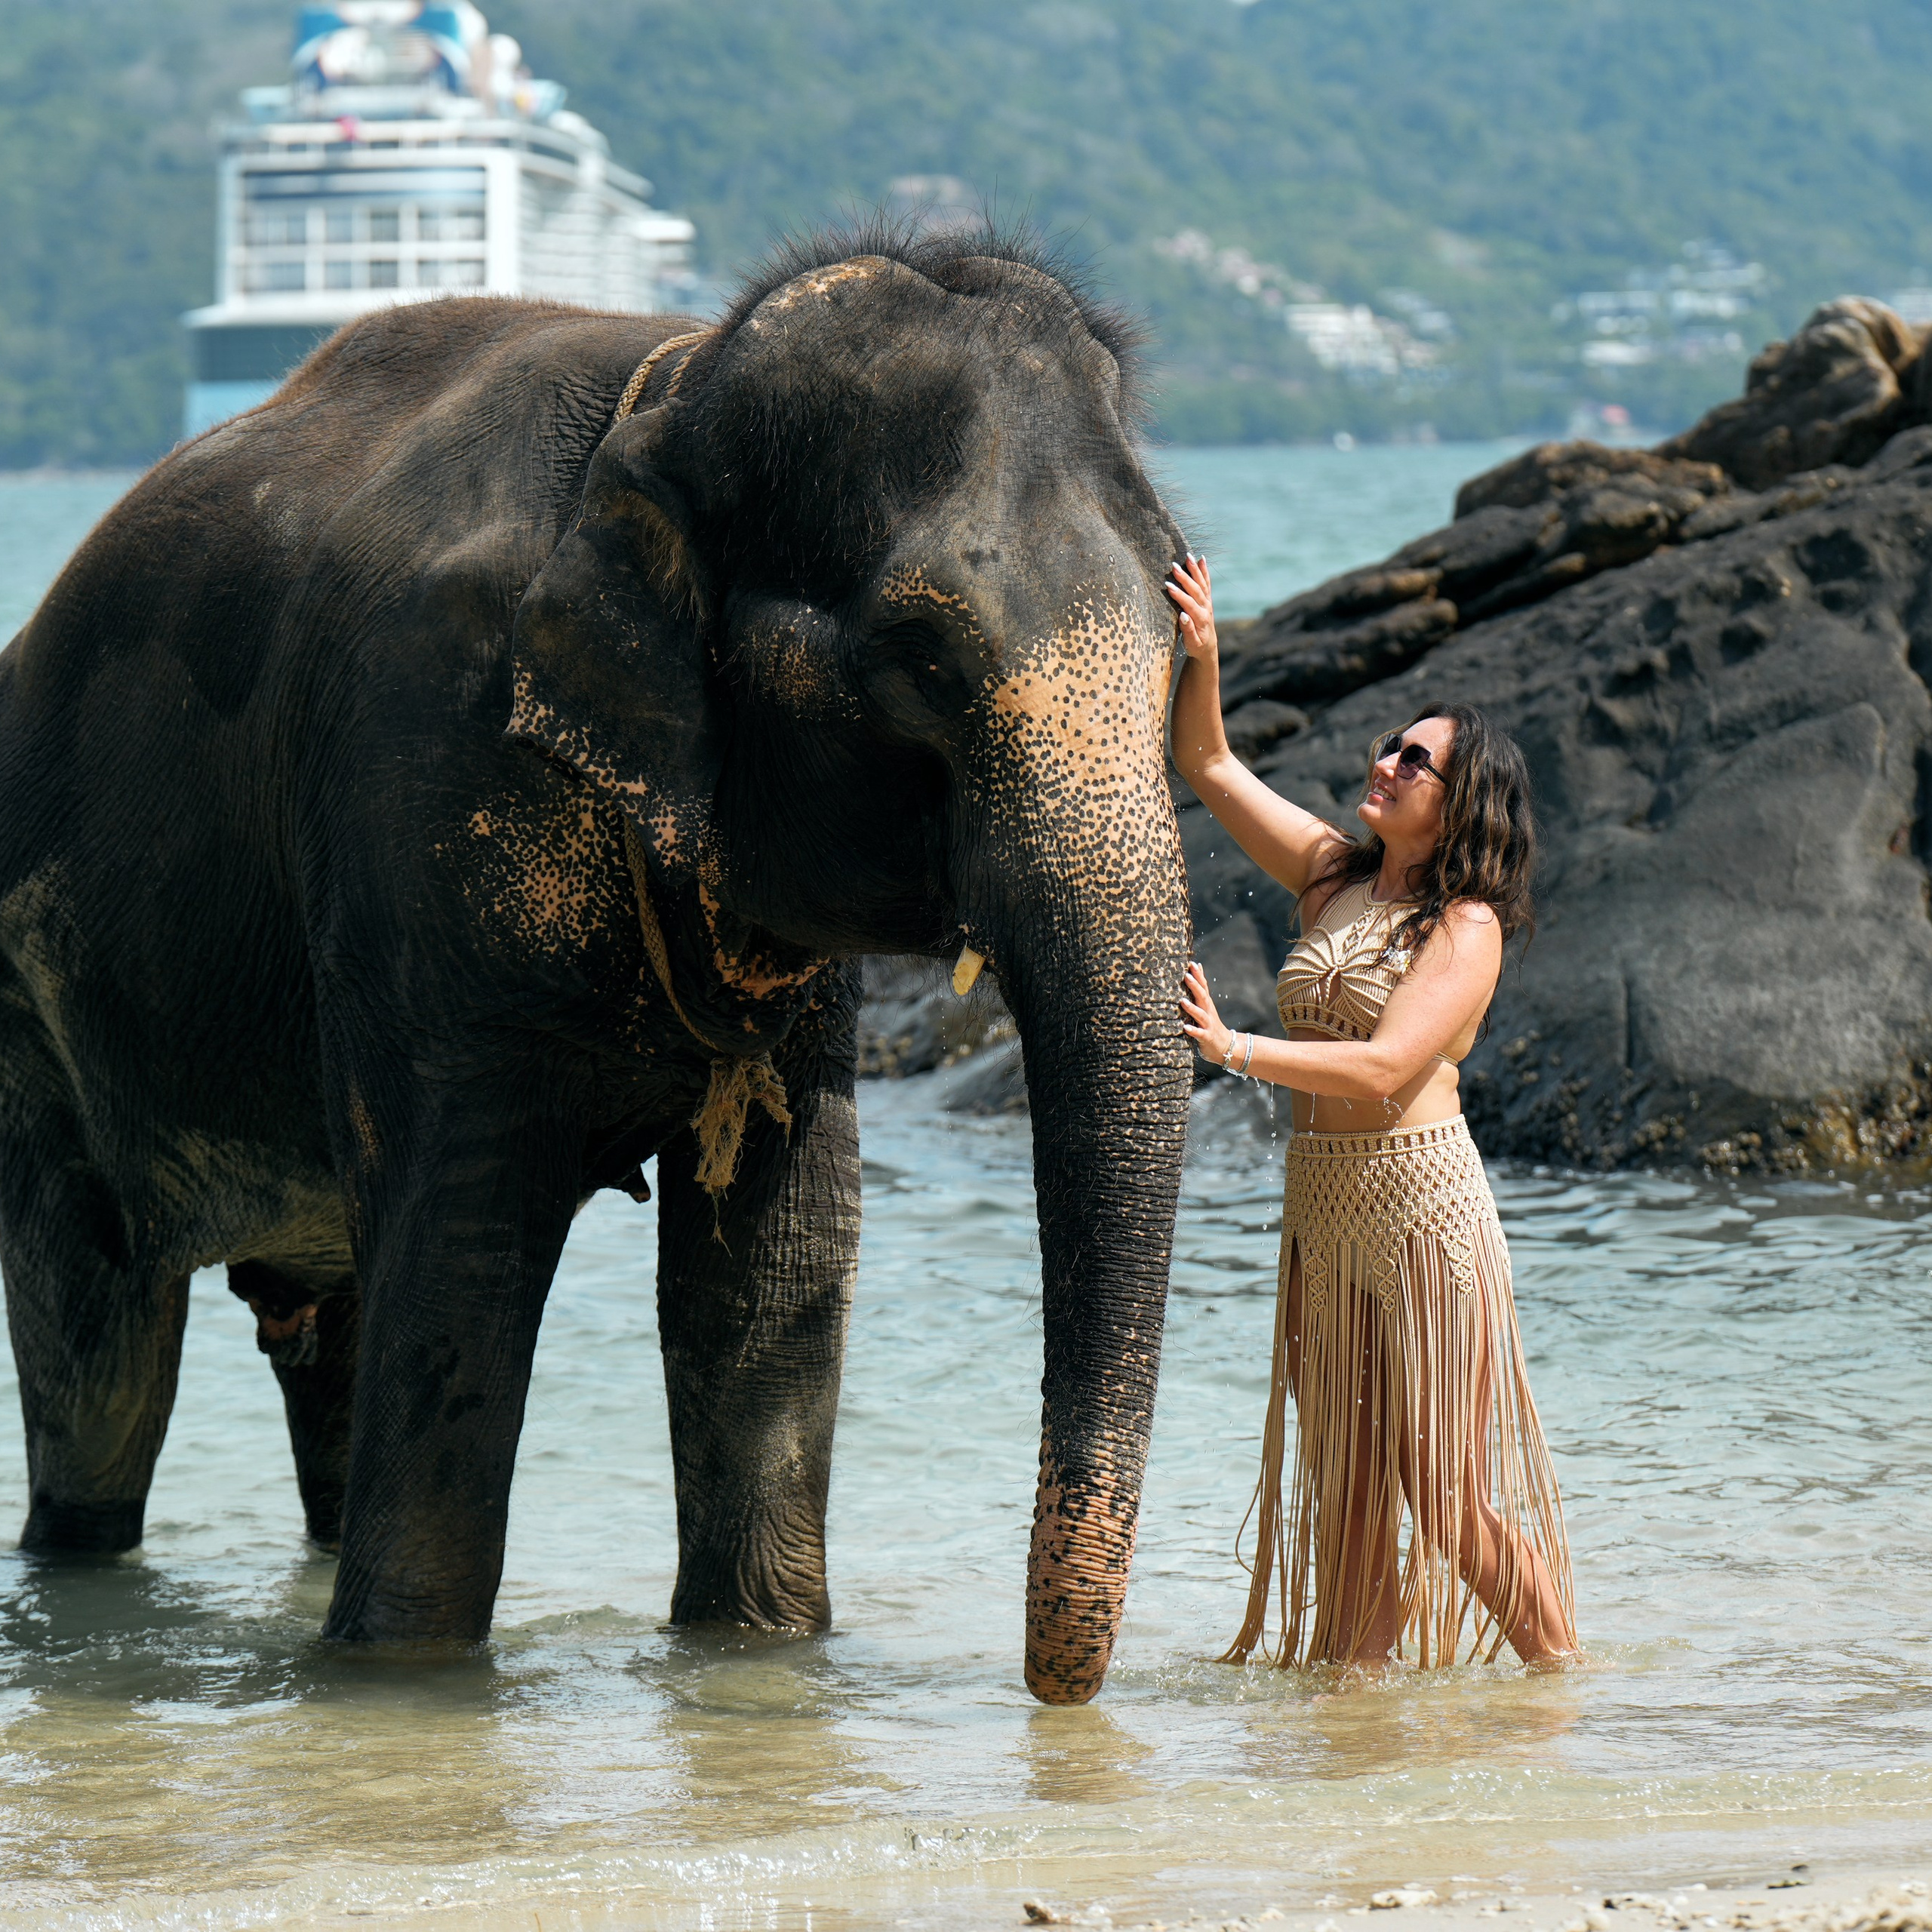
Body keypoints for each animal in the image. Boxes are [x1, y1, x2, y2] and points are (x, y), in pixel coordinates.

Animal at [0, 226, 1193, 1704]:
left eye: (1181, 634)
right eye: (920, 656)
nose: (1051, 1693)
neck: (671, 389)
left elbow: (776, 1261)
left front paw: (754, 1654)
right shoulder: (420, 781)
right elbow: (463, 1249)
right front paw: (402, 1681)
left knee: (323, 1332)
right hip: (34, 1020)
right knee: (101, 1348)